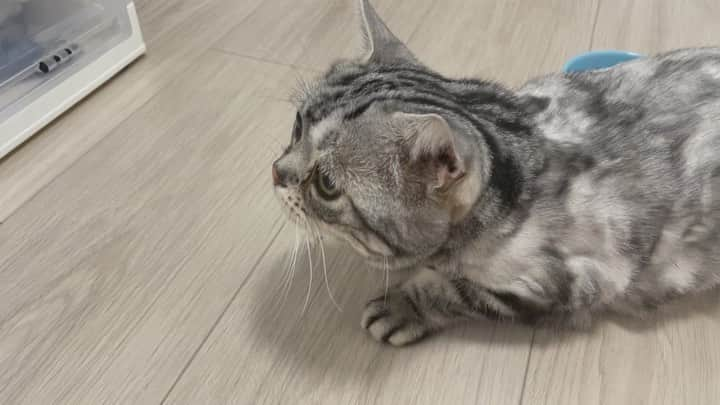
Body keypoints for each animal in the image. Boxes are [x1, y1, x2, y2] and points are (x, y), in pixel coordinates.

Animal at [272, 0, 720, 348]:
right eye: (296, 126)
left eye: (327, 185)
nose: (276, 173)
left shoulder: (569, 281)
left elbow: (456, 291)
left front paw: (403, 305)